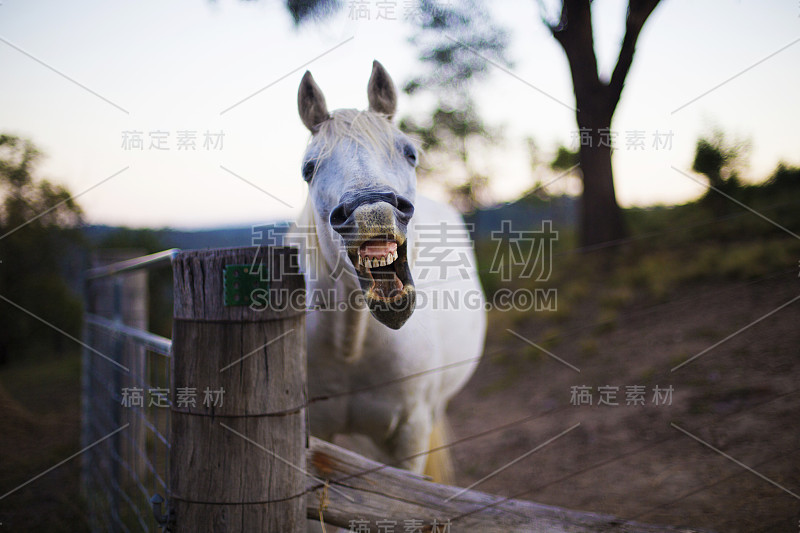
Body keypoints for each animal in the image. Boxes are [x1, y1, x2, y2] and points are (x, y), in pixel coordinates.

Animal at [292, 61, 484, 482]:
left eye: (410, 153)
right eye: (308, 169)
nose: (372, 210)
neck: (351, 349)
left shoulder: (410, 433)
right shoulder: (317, 436)